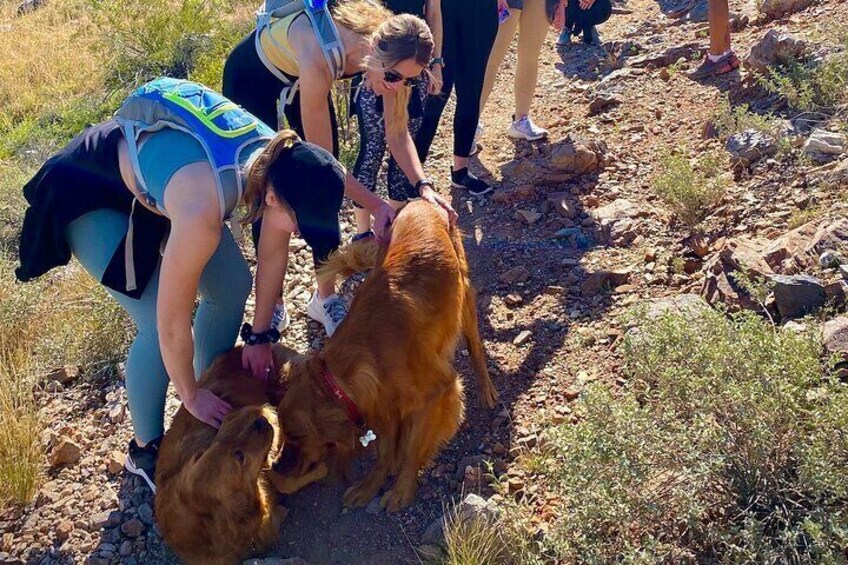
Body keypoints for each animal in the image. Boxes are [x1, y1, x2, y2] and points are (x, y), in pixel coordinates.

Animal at [270, 199, 496, 512]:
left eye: (296, 436)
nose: (276, 467)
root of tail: (419, 200)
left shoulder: (437, 392)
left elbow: (412, 448)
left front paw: (401, 489)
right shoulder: (381, 401)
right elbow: (385, 450)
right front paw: (371, 484)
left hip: (463, 299)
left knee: (475, 348)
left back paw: (487, 389)